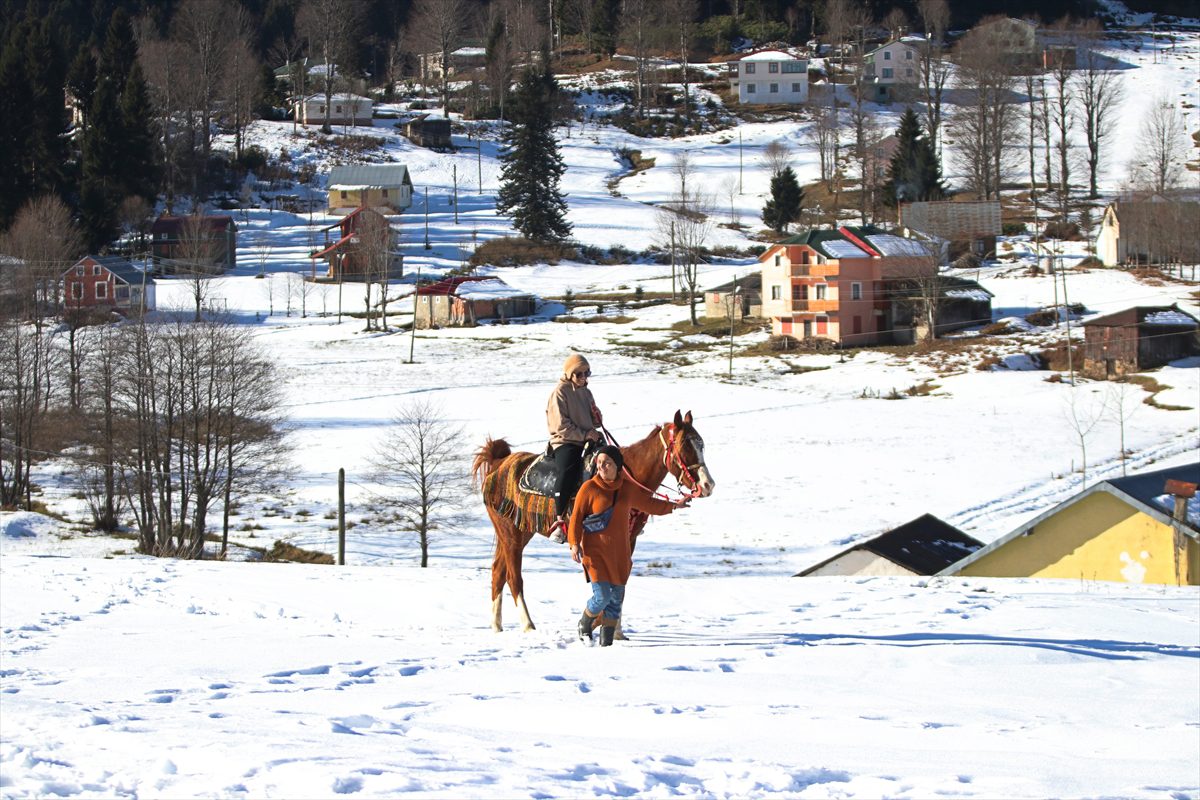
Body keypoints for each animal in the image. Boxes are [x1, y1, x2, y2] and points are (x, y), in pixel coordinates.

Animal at [468, 412, 710, 633]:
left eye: (701, 444)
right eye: (684, 446)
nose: (708, 485)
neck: (624, 477)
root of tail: (499, 463)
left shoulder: (628, 539)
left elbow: (621, 578)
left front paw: (616, 630)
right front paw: (597, 623)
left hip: (515, 533)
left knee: (498, 571)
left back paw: (496, 626)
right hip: (512, 535)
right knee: (513, 576)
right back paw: (528, 625)